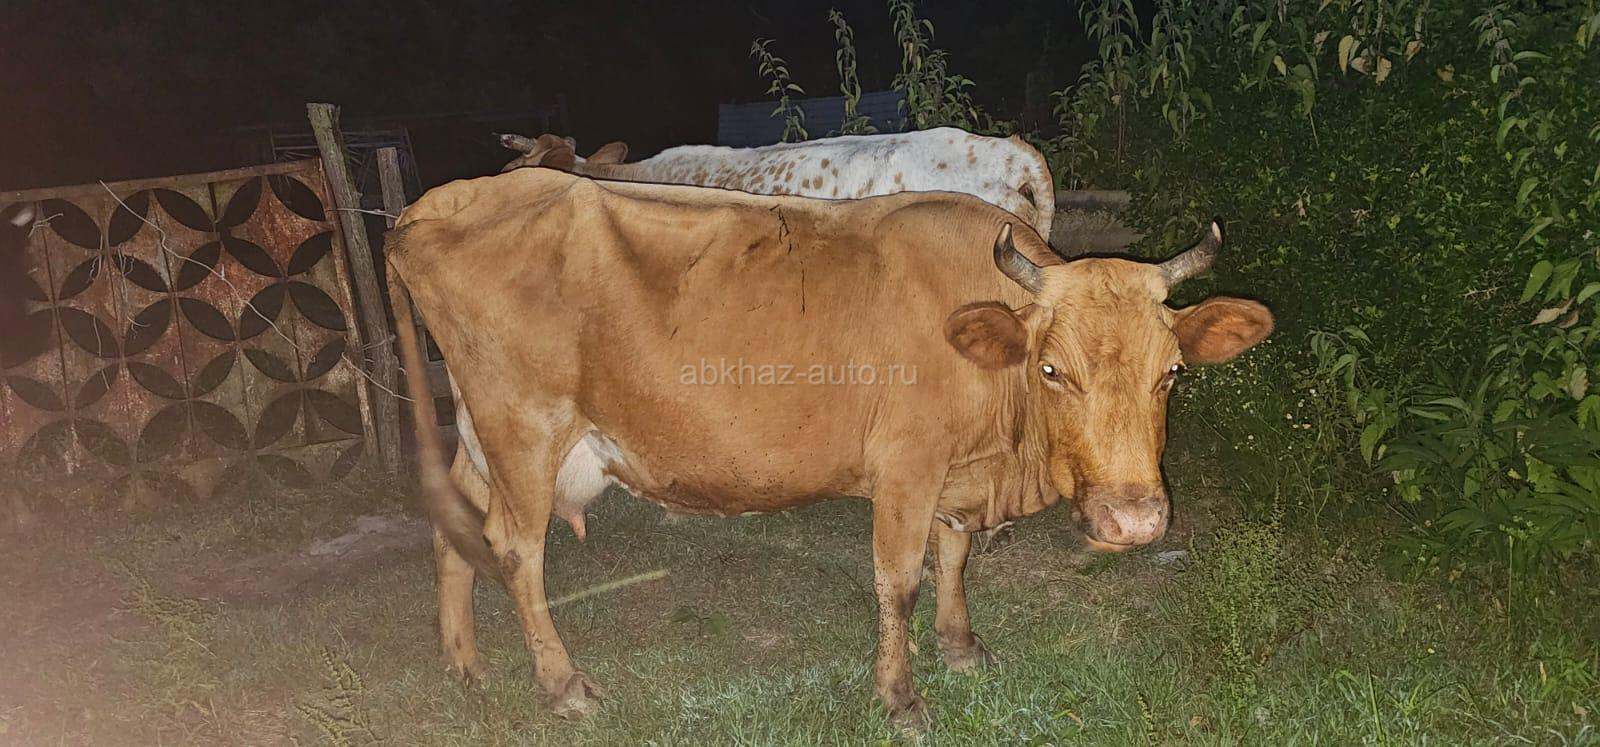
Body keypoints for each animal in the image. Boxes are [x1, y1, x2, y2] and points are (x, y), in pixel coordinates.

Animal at [385, 167, 1273, 726]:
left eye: (1172, 373)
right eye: (1054, 370)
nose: (1134, 522)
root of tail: (435, 205)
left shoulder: (955, 473)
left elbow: (954, 556)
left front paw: (961, 648)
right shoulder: (908, 463)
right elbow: (899, 580)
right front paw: (901, 697)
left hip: (482, 434)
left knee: (456, 531)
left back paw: (464, 662)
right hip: (524, 426)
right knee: (516, 549)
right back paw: (563, 684)